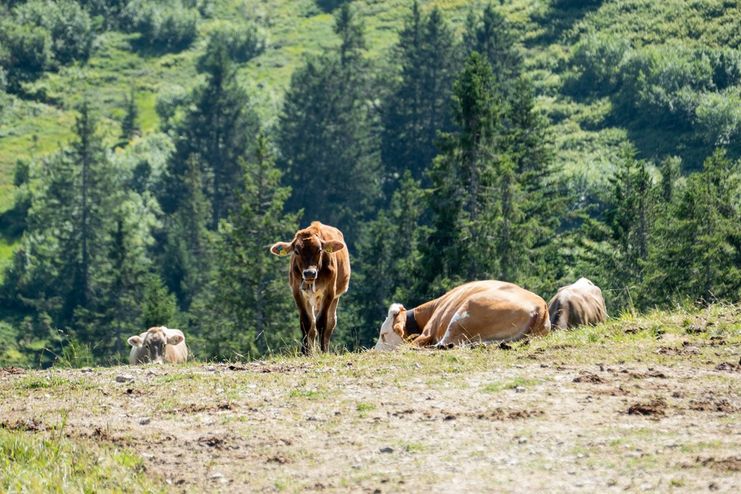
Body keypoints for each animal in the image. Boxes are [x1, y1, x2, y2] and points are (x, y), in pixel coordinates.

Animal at [270, 222, 352, 354]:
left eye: (319, 250)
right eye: (296, 251)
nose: (309, 273)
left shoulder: (329, 292)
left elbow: (322, 322)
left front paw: (323, 351)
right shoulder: (297, 292)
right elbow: (306, 322)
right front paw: (305, 352)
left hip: (335, 296)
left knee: (331, 322)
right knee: (313, 325)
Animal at [372, 280, 548, 350]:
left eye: (383, 335)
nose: (374, 351)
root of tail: (540, 306)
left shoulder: (428, 332)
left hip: (463, 313)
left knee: (443, 344)